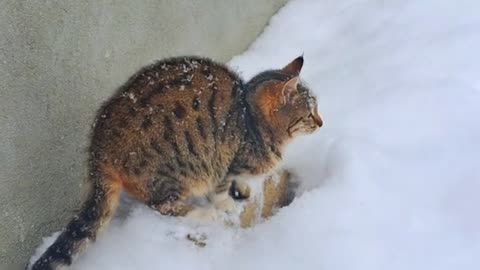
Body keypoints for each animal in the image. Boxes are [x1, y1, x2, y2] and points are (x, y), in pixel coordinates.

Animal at [30, 54, 322, 270]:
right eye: (309, 113)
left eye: (316, 109)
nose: (321, 122)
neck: (252, 119)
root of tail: (97, 150)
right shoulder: (226, 165)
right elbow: (222, 192)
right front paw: (226, 206)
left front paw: (244, 191)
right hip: (176, 174)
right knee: (162, 205)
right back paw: (204, 213)